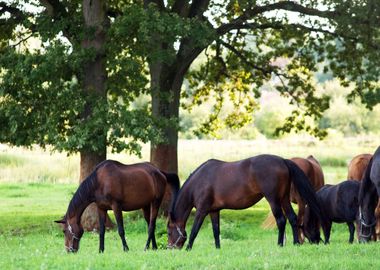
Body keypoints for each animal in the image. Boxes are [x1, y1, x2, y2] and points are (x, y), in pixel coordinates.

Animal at [168, 153, 326, 250]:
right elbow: (216, 231)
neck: (200, 180)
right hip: (284, 199)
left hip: (273, 200)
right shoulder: (214, 211)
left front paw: (188, 249)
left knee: (281, 220)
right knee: (293, 218)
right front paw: (218, 248)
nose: (170, 248)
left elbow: (194, 230)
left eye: (169, 232)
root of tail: (283, 160)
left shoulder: (202, 211)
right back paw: (295, 243)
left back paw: (280, 245)